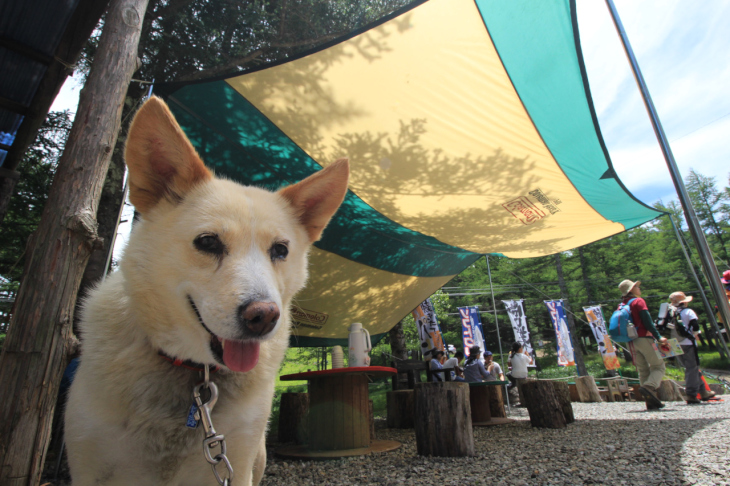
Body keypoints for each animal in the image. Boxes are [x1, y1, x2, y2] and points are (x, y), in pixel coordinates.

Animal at [64, 97, 348, 484]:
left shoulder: (237, 465)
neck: (195, 375)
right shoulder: (89, 465)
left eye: (280, 250)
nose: (264, 317)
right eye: (208, 242)